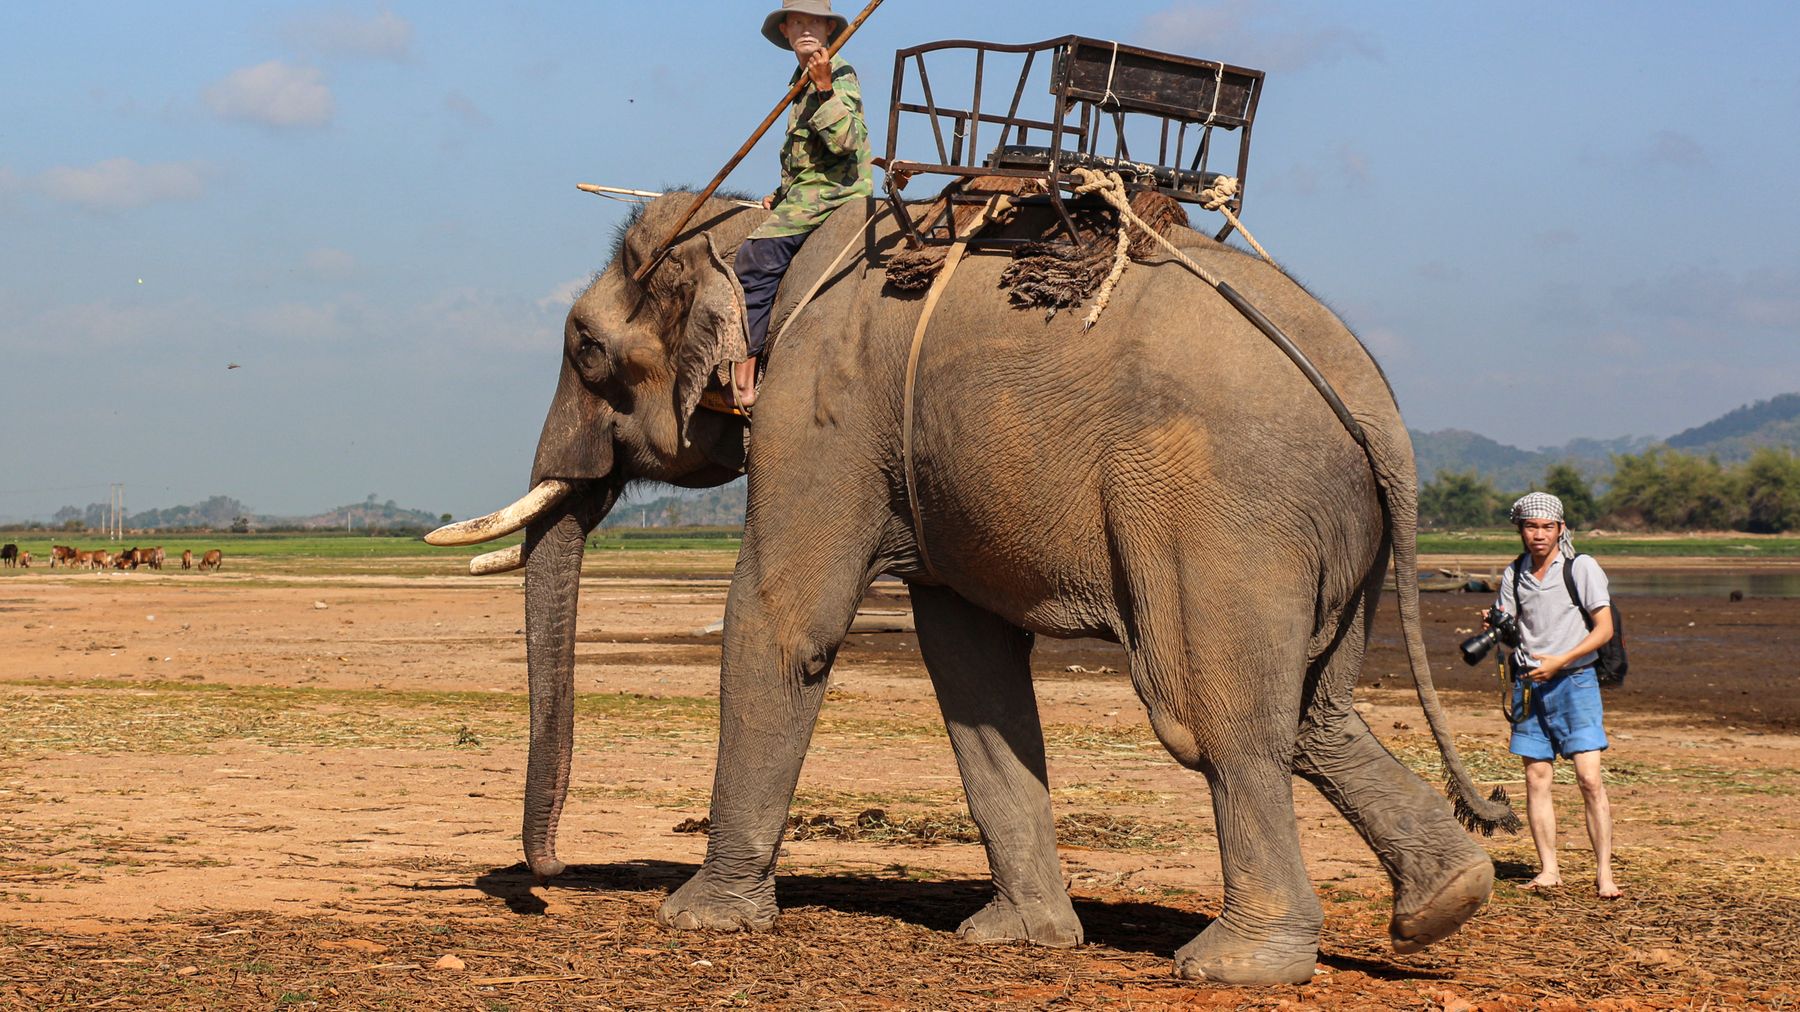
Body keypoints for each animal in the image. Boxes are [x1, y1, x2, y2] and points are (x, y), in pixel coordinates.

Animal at [431, 189, 1517, 985]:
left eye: (585, 349)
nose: (549, 874)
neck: (755, 222)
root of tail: (1380, 410)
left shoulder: (818, 407)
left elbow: (784, 621)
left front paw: (699, 919)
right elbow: (969, 664)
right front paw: (1019, 940)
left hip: (1223, 507)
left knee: (1215, 717)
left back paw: (1234, 966)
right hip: (1332, 529)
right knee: (1315, 714)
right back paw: (1444, 903)